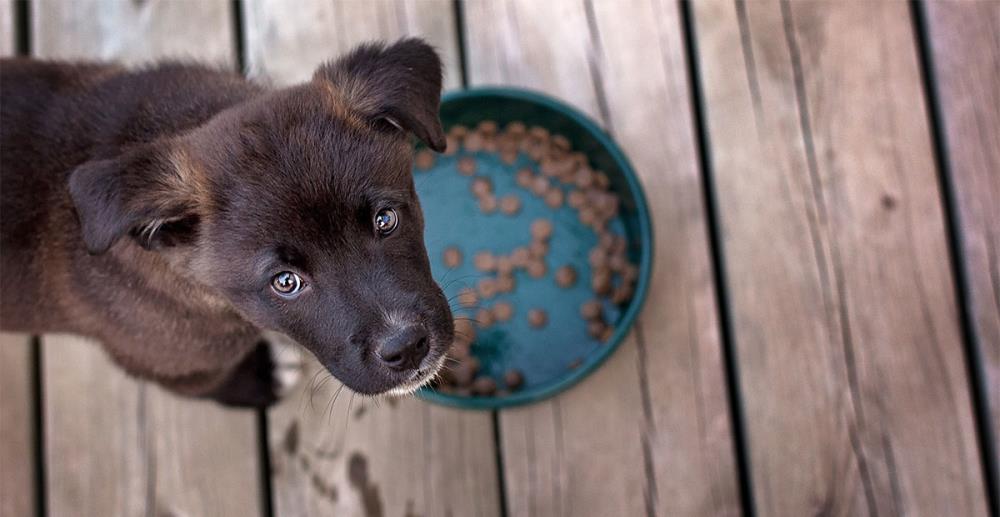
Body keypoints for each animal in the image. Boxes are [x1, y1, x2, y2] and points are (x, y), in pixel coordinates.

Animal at [0, 38, 454, 406]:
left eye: (385, 220)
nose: (406, 347)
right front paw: (262, 380)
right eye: (285, 282)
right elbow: (210, 385)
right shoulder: (165, 364)